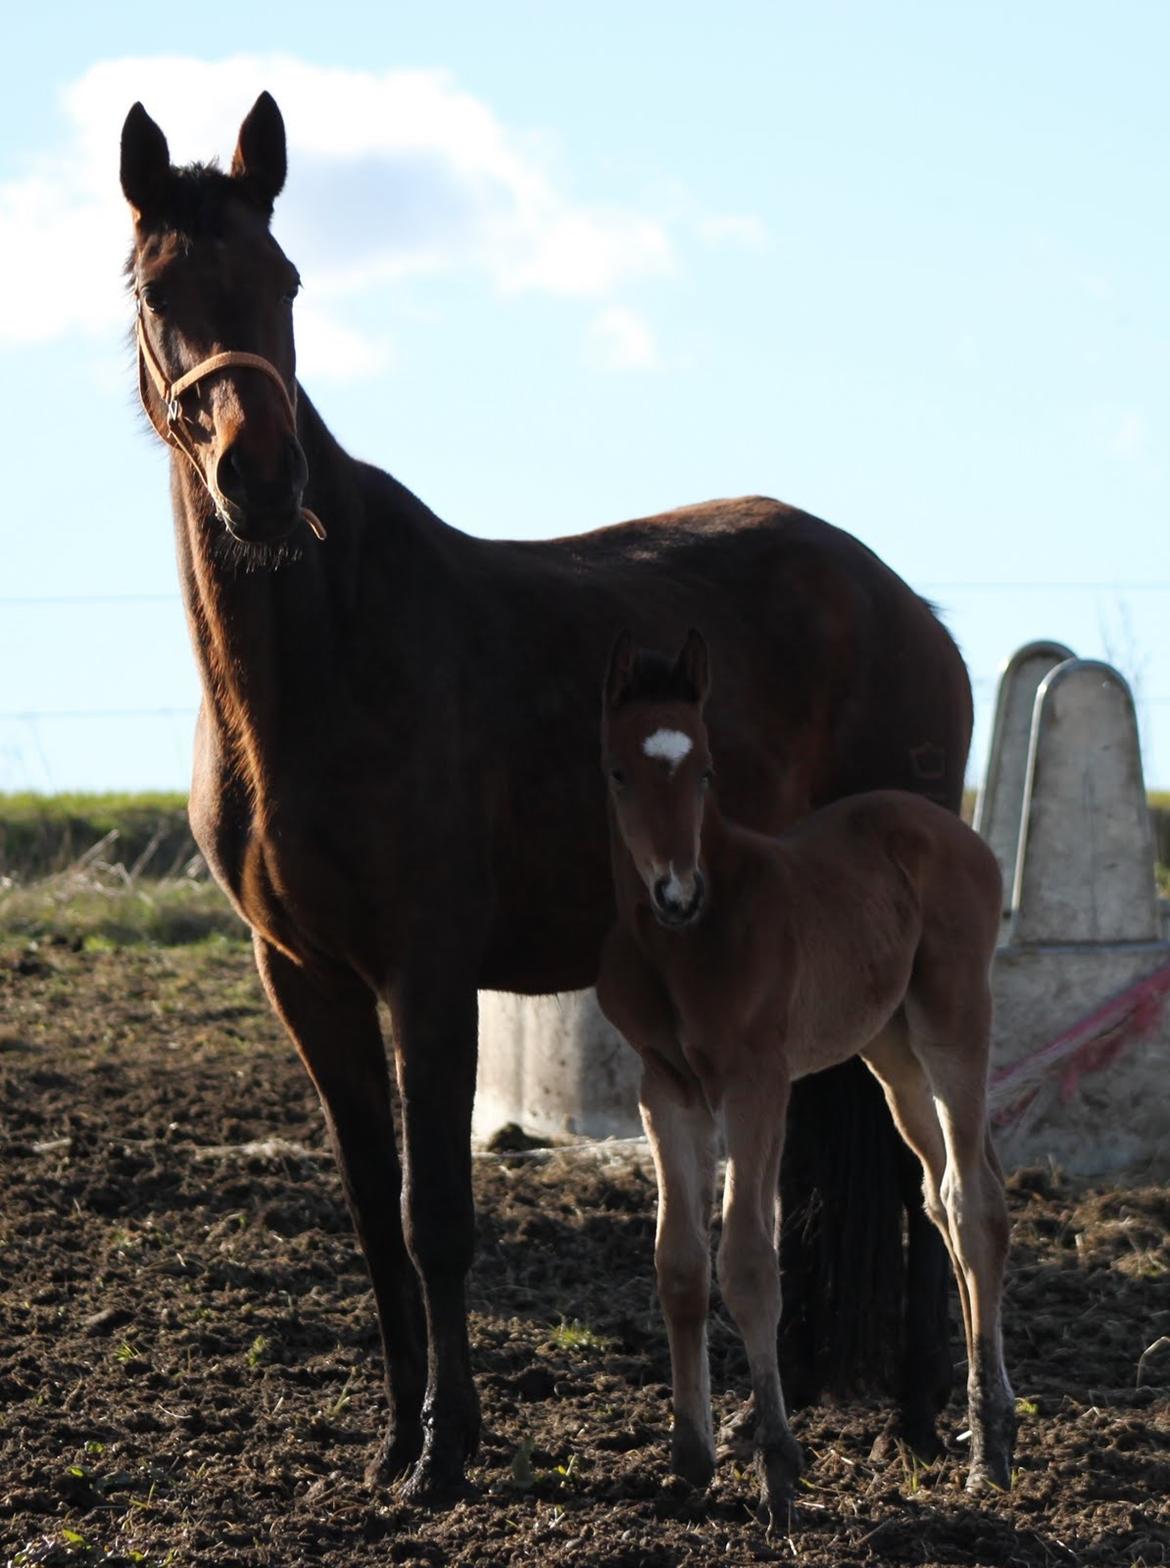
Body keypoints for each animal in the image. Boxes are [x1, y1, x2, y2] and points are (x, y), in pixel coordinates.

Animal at [595, 630, 1010, 1524]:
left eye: (707, 769)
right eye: (618, 773)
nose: (676, 891)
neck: (686, 945)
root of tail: (952, 826)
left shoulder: (756, 1083)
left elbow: (751, 1261)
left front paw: (779, 1466)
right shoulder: (665, 1088)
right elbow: (679, 1264)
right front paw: (690, 1459)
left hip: (952, 1016)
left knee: (975, 1203)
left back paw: (989, 1448)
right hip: (888, 1048)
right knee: (942, 1195)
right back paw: (983, 1422)